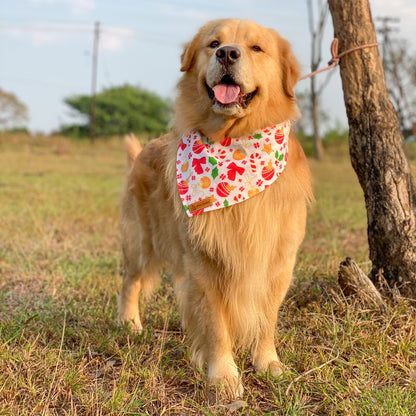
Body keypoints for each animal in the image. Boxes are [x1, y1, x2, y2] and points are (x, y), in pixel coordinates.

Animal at [118, 19, 310, 396]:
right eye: (213, 43)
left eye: (256, 48)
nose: (227, 53)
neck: (234, 142)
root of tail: (142, 150)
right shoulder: (204, 262)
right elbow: (217, 327)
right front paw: (223, 376)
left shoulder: (278, 261)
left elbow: (267, 319)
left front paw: (268, 364)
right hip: (142, 241)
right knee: (130, 281)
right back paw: (130, 323)